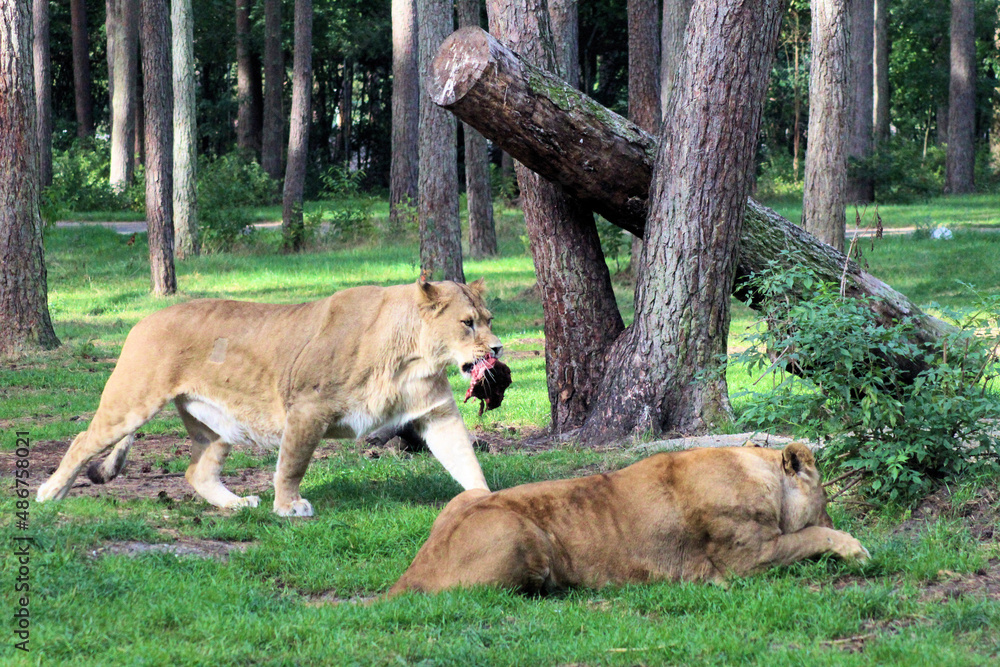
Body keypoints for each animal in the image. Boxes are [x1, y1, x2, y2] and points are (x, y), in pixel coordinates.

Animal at [37, 280, 501, 516]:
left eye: (490, 320)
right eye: (467, 323)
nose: (496, 348)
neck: (413, 358)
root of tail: (141, 322)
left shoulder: (436, 413)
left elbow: (464, 459)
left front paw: (485, 501)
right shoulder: (307, 407)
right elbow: (292, 464)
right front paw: (289, 507)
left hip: (214, 424)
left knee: (197, 472)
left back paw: (237, 504)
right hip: (132, 400)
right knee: (82, 441)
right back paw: (49, 495)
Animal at [389, 443, 869, 595]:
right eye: (826, 498)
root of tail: (412, 573)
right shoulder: (748, 560)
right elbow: (813, 535)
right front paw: (857, 550)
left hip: (468, 494)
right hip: (522, 531)